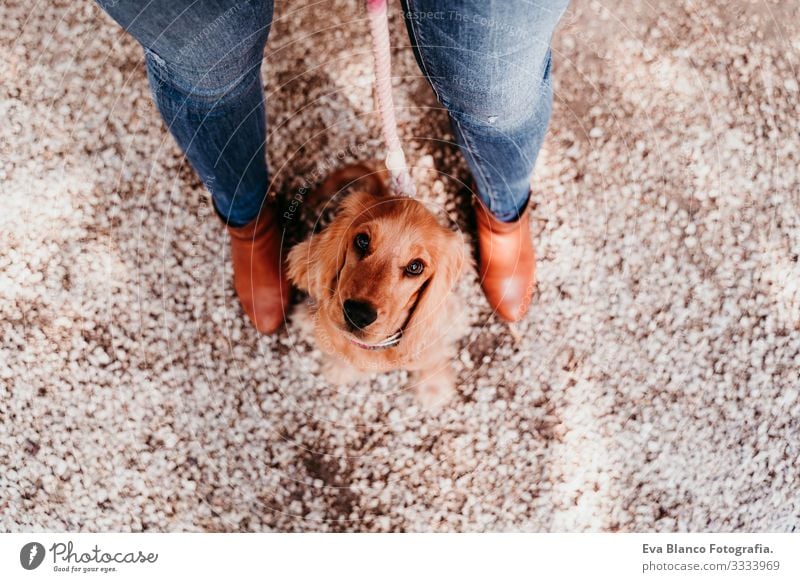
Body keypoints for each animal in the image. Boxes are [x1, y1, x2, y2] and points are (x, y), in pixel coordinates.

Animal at [288, 163, 466, 410]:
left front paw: (434, 388)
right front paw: (340, 369)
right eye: (362, 241)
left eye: (416, 267)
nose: (357, 314)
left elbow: (432, 362)